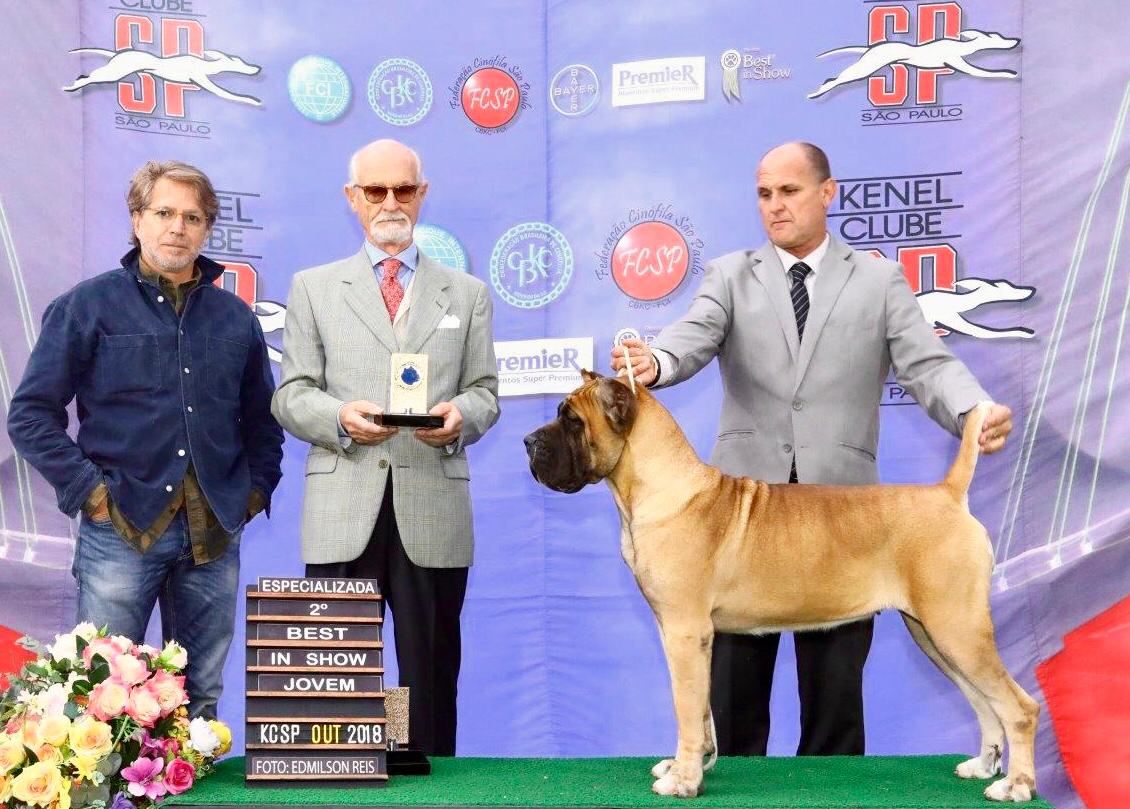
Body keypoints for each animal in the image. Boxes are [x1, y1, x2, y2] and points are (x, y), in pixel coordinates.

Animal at [63, 48, 261, 106]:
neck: (204, 64)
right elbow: (227, 93)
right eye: (237, 62)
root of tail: (117, 54)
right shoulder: (201, 79)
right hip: (114, 73)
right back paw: (70, 87)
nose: (256, 68)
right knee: (89, 77)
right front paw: (252, 100)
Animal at [524, 372, 1038, 802]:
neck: (657, 487)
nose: (528, 441)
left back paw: (1015, 785)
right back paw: (984, 765)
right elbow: (701, 711)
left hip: (957, 627)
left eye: (571, 420)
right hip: (933, 633)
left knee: (1018, 706)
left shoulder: (684, 633)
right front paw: (691, 765)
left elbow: (686, 708)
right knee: (985, 702)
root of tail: (948, 494)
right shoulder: (691, 637)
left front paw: (683, 781)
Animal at [808, 29, 1020, 99]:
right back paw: (816, 92)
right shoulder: (958, 63)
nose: (1016, 41)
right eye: (996, 37)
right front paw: (1009, 73)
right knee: (835, 79)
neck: (961, 46)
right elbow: (986, 72)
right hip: (865, 67)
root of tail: (871, 47)